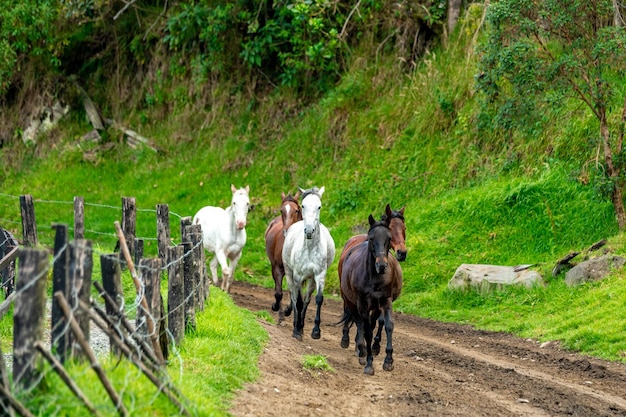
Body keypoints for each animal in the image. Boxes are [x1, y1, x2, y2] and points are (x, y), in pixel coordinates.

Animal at [280, 187, 334, 340]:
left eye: (319, 206)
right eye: (303, 206)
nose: (309, 231)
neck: (310, 248)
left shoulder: (320, 275)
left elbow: (318, 299)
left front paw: (315, 331)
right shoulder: (298, 276)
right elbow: (297, 300)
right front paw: (297, 331)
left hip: (311, 279)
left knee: (307, 299)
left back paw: (302, 325)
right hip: (289, 273)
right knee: (293, 296)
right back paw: (295, 325)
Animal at [338, 213, 402, 376]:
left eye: (388, 238)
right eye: (372, 238)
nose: (382, 265)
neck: (374, 277)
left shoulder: (385, 300)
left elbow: (388, 325)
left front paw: (388, 361)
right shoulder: (362, 303)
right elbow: (366, 330)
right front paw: (368, 363)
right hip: (350, 301)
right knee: (359, 322)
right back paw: (359, 350)